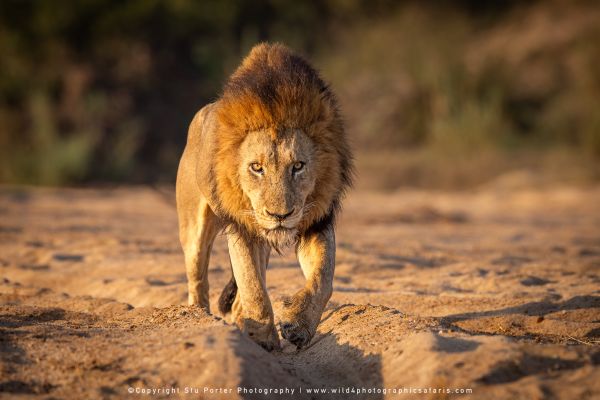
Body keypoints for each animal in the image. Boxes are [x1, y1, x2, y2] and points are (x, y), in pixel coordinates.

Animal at [175, 43, 352, 350]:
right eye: (256, 167)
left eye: (298, 166)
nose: (280, 215)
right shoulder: (241, 226)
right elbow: (252, 285)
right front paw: (262, 338)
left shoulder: (316, 220)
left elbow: (322, 279)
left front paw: (298, 325)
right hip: (193, 226)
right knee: (198, 279)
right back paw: (201, 319)